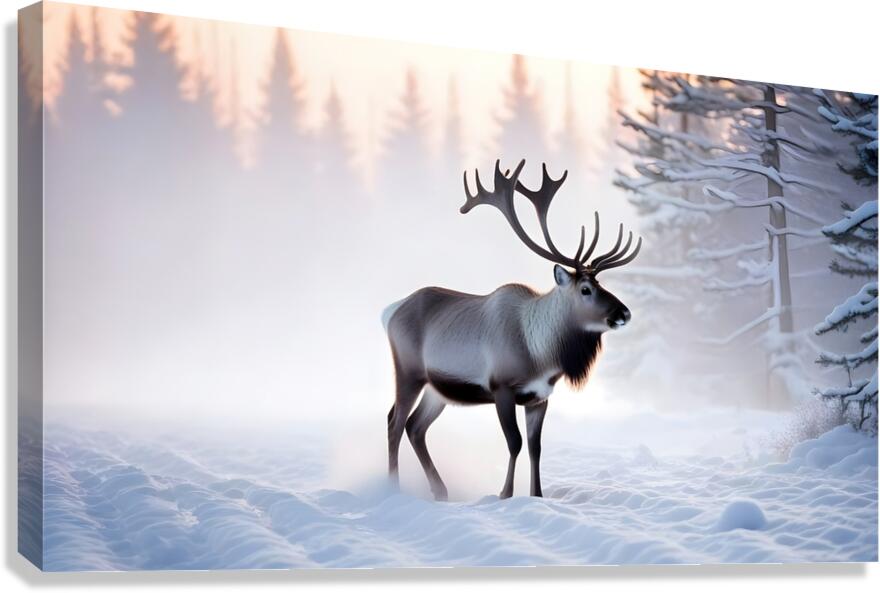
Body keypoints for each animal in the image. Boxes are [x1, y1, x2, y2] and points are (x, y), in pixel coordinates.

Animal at [382, 159, 641, 501]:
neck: (541, 354)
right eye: (586, 289)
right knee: (394, 421)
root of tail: (390, 311)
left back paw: (440, 490)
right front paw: (505, 494)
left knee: (415, 427)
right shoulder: (501, 387)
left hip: (438, 389)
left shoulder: (540, 396)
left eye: (602, 284)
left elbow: (536, 447)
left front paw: (537, 496)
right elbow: (515, 442)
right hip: (409, 372)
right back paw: (392, 488)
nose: (624, 313)